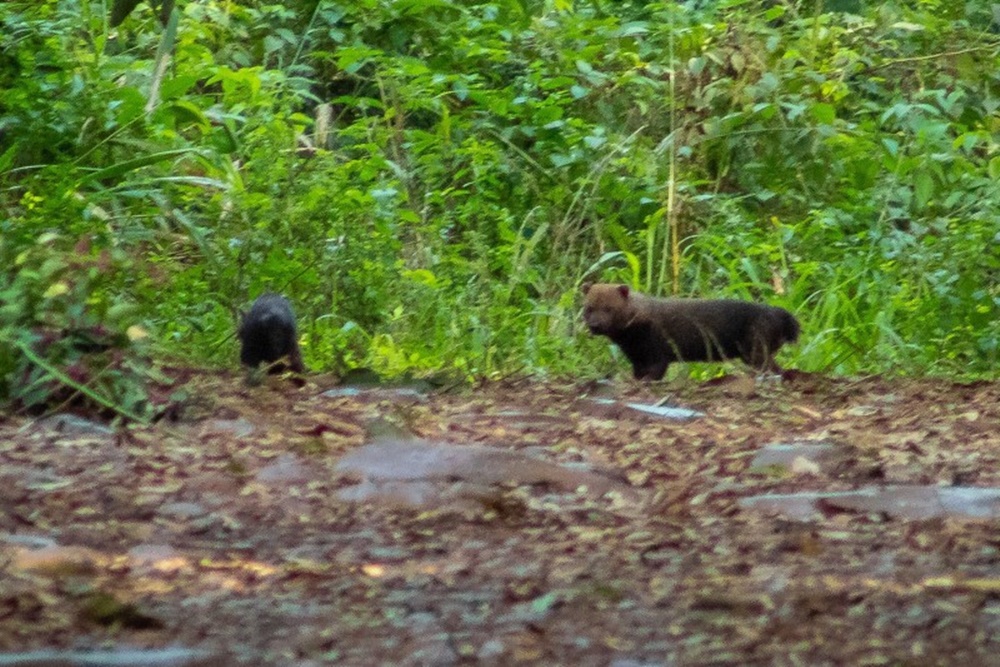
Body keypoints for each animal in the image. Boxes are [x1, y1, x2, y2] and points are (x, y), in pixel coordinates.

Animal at [584, 284, 800, 380]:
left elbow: (655, 372)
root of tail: (780, 314)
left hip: (755, 348)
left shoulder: (657, 350)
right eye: (588, 308)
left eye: (609, 308)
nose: (595, 325)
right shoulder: (637, 357)